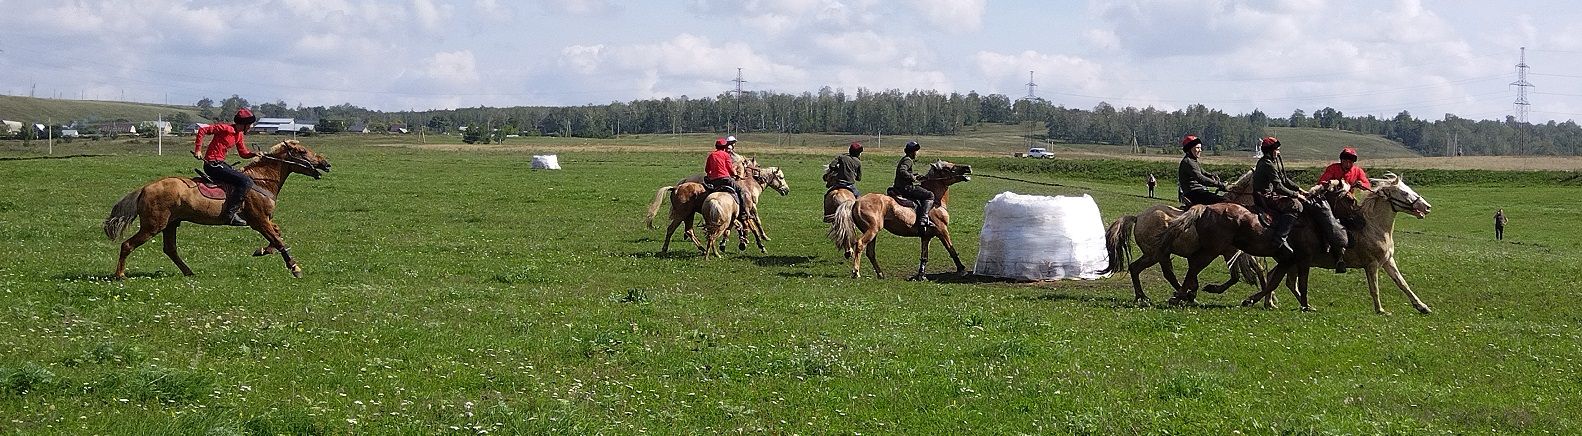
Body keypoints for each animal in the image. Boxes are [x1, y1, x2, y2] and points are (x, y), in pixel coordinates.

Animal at [103, 141, 332, 281]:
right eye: (302, 152)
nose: (326, 164)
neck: (262, 180)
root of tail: (144, 188)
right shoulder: (259, 220)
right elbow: (278, 240)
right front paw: (295, 268)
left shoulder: (265, 220)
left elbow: (277, 236)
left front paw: (262, 250)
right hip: (153, 225)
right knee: (127, 245)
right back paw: (120, 275)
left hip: (171, 224)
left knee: (170, 249)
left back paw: (188, 272)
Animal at [828, 160, 974, 279]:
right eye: (947, 168)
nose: (968, 167)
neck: (936, 203)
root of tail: (856, 202)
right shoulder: (942, 230)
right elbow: (951, 249)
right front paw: (961, 269)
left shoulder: (926, 236)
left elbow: (924, 256)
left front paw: (921, 275)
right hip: (872, 230)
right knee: (859, 245)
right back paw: (856, 272)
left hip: (872, 232)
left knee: (870, 253)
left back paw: (880, 274)